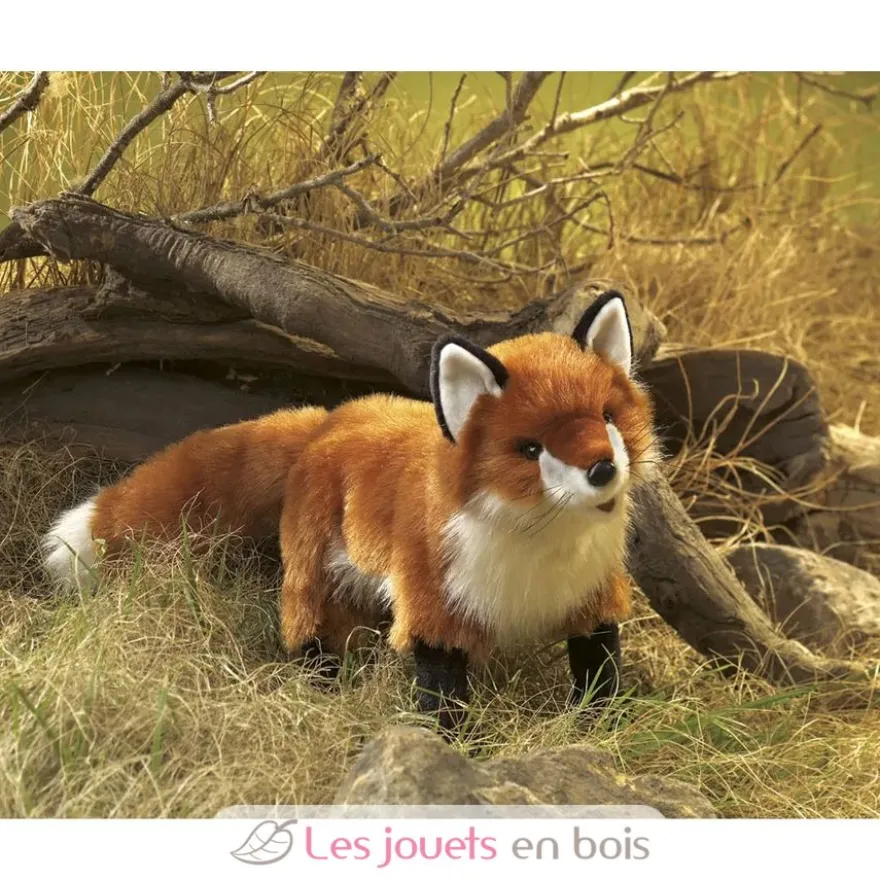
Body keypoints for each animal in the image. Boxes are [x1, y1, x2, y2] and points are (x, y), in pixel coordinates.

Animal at [43, 290, 657, 729]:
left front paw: (604, 729)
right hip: (315, 578)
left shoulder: (594, 599)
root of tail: (331, 417)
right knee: (307, 634)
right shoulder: (435, 605)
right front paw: (461, 750)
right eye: (531, 449)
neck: (540, 557)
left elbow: (600, 672)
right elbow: (444, 695)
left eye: (607, 417)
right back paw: (323, 687)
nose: (602, 469)